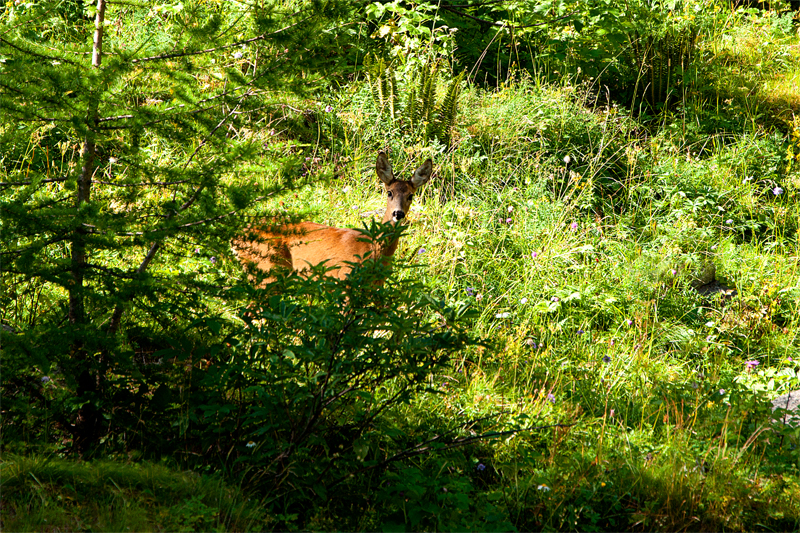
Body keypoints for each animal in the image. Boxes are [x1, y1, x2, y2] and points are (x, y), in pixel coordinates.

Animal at [231, 151, 432, 282]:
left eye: (411, 195)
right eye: (389, 192)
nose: (398, 213)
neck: (373, 250)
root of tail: (236, 238)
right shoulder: (344, 279)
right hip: (267, 269)